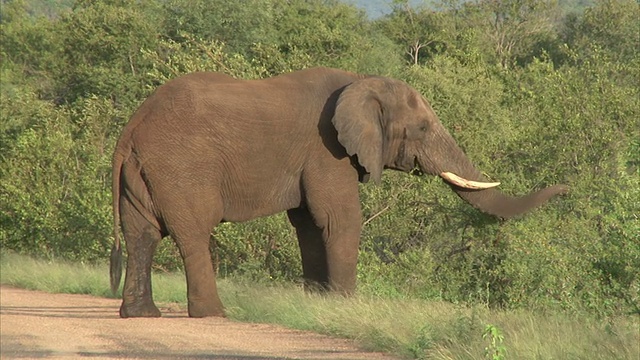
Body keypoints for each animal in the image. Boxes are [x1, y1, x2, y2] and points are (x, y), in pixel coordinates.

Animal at [111, 67, 568, 318]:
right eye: (422, 128)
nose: (566, 188)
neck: (360, 82)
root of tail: (132, 129)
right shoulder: (326, 148)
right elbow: (339, 218)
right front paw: (347, 305)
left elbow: (309, 225)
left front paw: (319, 305)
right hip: (182, 169)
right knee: (192, 234)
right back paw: (215, 314)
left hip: (143, 173)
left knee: (141, 236)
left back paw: (141, 314)